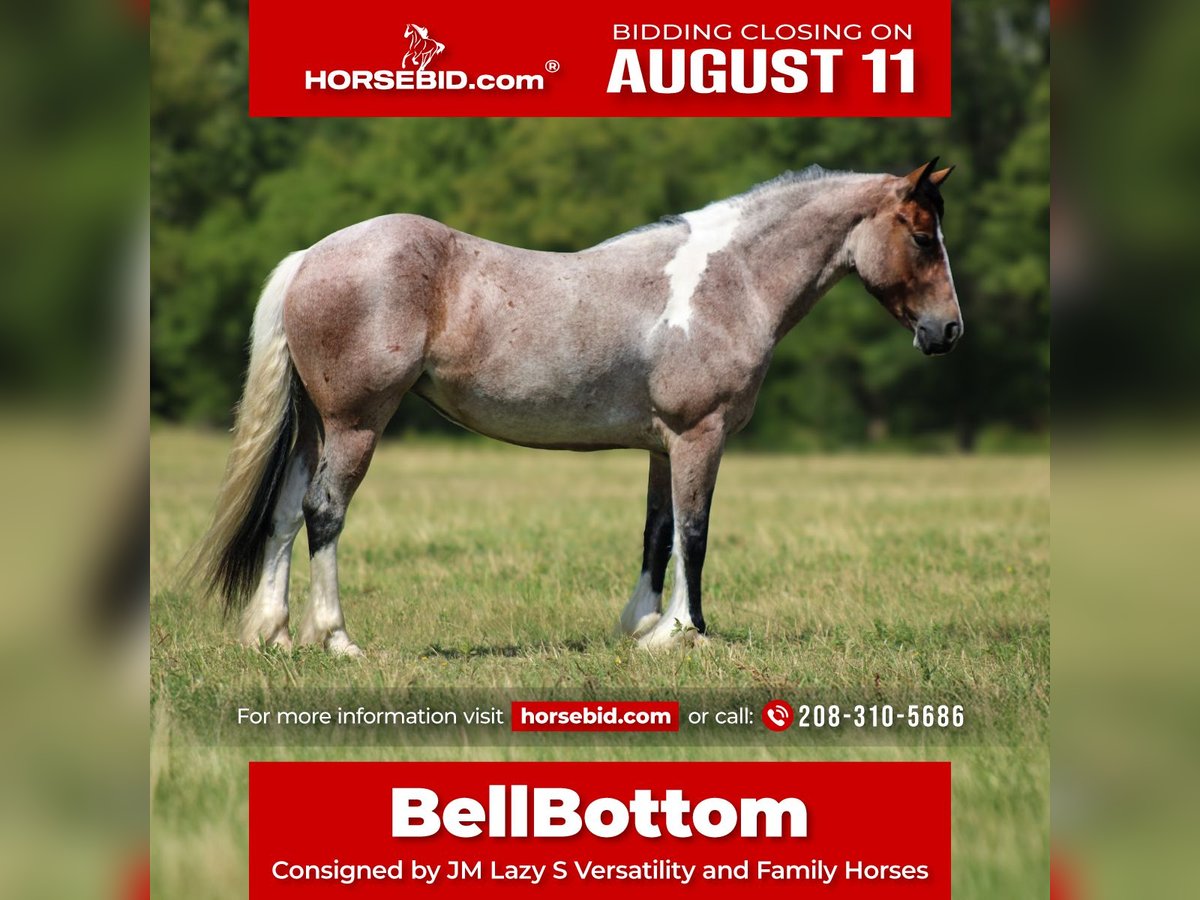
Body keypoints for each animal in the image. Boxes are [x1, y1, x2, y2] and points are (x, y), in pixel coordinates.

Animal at [186, 160, 961, 656]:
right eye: (923, 236)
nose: (948, 331)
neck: (729, 282)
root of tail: (311, 256)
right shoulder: (699, 436)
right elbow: (696, 532)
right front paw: (686, 634)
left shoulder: (662, 444)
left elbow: (658, 532)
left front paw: (643, 626)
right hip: (355, 425)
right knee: (324, 513)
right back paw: (337, 639)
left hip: (318, 429)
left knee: (287, 511)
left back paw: (273, 634)